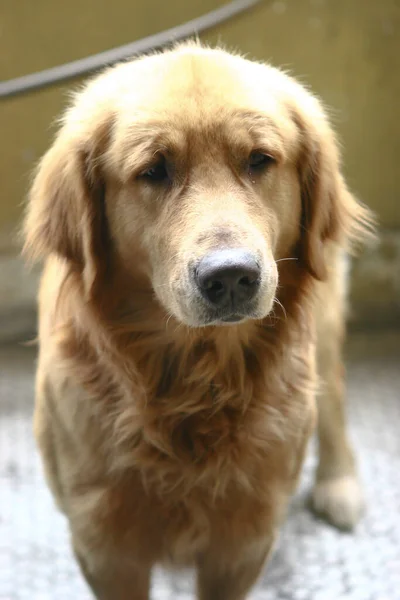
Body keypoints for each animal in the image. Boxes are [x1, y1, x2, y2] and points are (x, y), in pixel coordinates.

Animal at [23, 43, 374, 600]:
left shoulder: (244, 542)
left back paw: (338, 483)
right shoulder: (104, 545)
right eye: (154, 170)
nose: (230, 277)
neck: (194, 386)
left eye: (259, 160)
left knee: (333, 392)